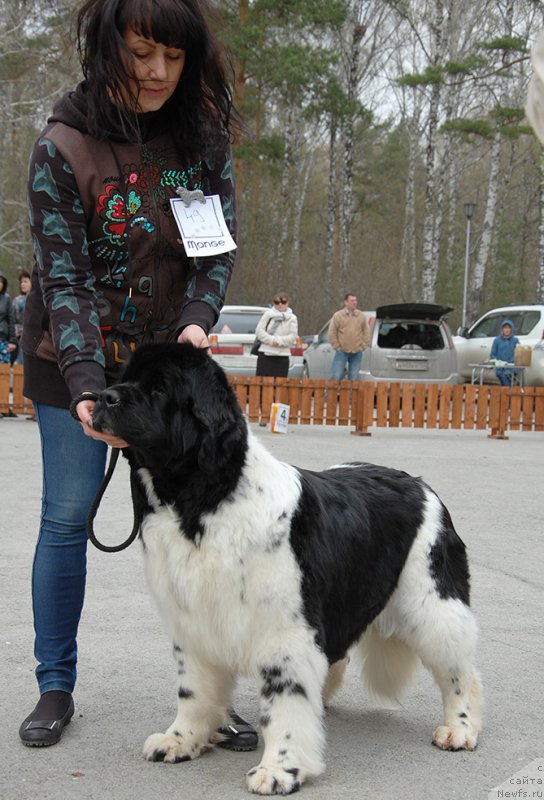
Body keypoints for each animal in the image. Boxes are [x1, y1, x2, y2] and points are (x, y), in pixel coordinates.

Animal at [91, 342, 482, 792]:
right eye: (125, 378)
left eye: (157, 389)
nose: (103, 397)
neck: (207, 500)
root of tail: (421, 484)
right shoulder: (195, 619)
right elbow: (193, 689)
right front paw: (181, 739)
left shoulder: (286, 631)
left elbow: (285, 703)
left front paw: (281, 768)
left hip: (433, 603)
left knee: (460, 669)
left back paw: (460, 728)